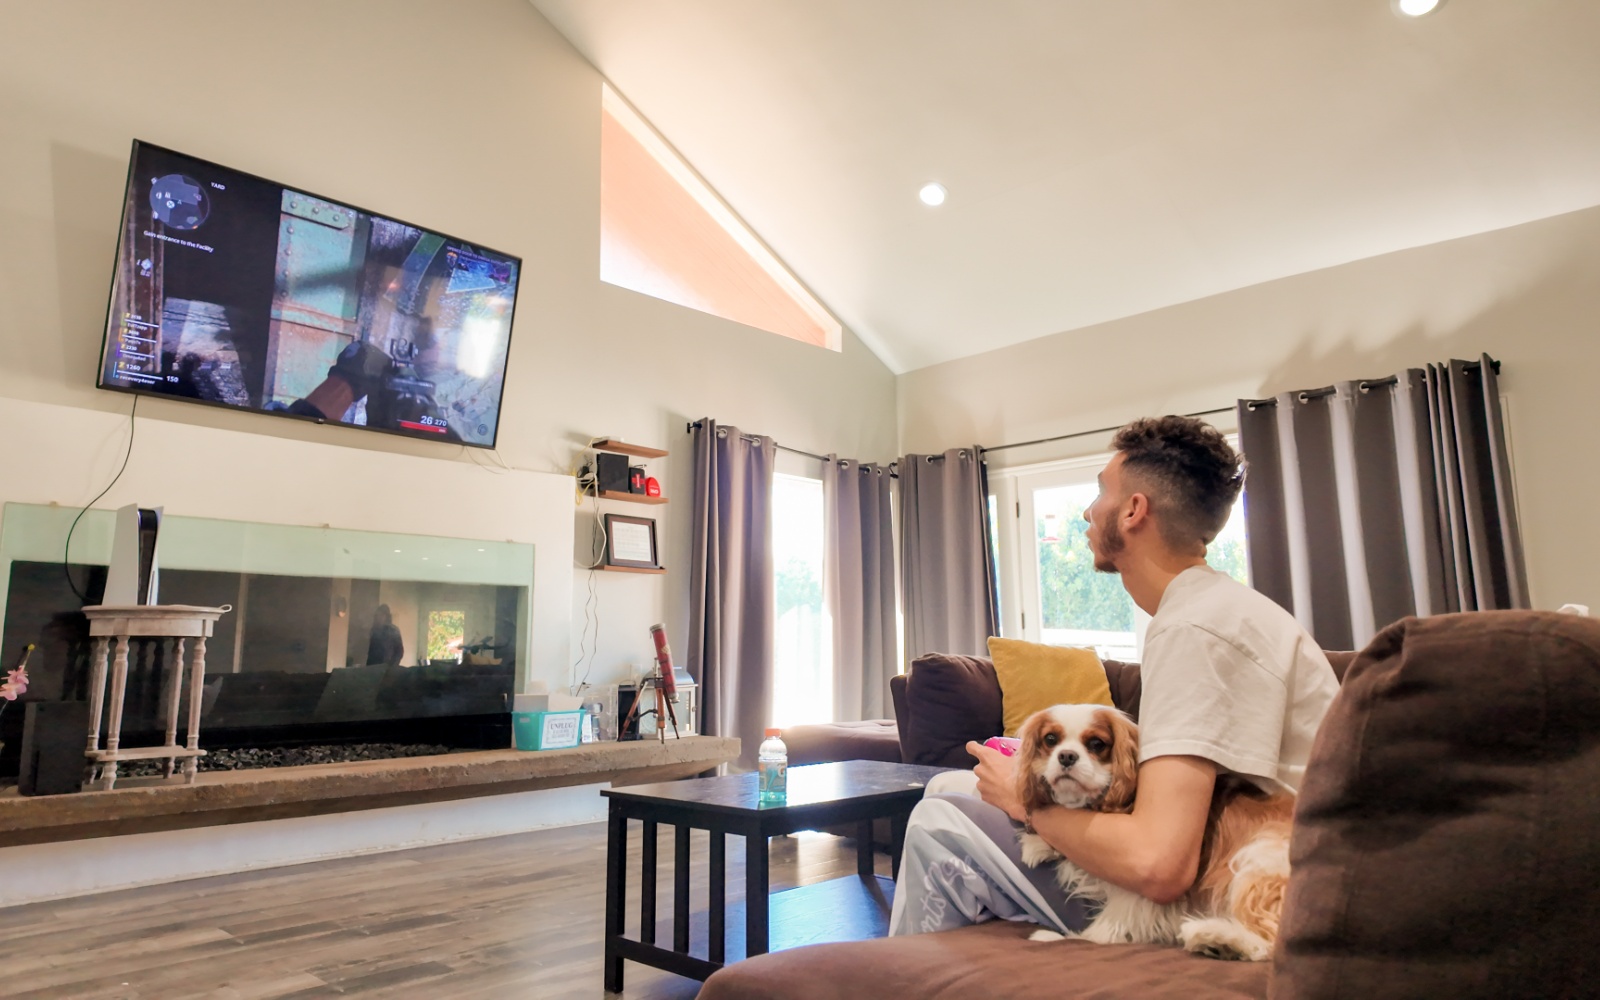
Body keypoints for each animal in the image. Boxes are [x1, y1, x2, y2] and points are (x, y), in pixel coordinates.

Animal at [1012, 704, 1294, 961]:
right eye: (1050, 739)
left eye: (1096, 743)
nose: (1067, 756)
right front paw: (1037, 844)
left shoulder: (1140, 889)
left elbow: (1111, 924)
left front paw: (1066, 939)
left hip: (1262, 856)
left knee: (1271, 941)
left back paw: (1219, 938)